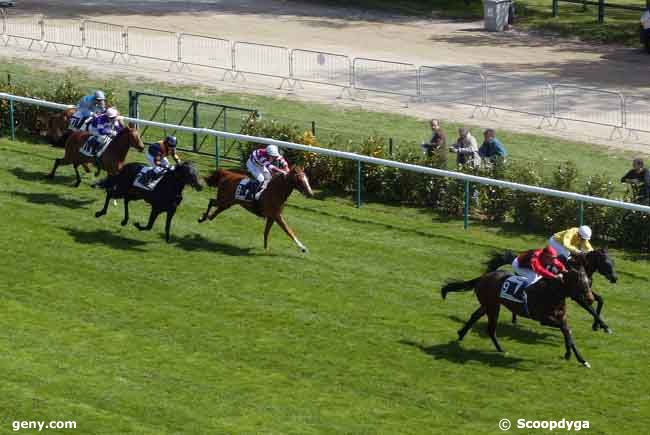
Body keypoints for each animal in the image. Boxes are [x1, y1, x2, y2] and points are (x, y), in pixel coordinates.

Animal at [438, 270, 596, 368]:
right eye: (581, 283)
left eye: (589, 282)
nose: (590, 299)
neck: (553, 292)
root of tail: (483, 277)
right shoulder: (543, 318)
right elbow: (566, 330)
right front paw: (568, 354)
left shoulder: (561, 317)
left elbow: (568, 332)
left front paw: (580, 359)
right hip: (493, 307)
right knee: (490, 329)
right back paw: (501, 349)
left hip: (487, 305)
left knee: (474, 317)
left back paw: (461, 334)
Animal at [484, 249, 616, 334]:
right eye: (606, 263)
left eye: (614, 263)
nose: (615, 278)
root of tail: (516, 257)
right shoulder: (578, 297)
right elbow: (591, 310)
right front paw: (605, 327)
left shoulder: (586, 291)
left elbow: (600, 300)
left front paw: (596, 326)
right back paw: (515, 318)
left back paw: (515, 318)